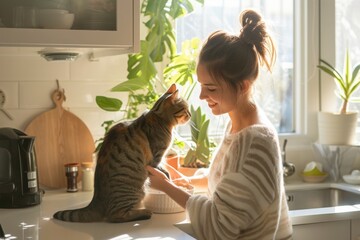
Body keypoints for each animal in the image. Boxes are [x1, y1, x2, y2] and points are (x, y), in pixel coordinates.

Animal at [52, 84, 191, 223]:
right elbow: (163, 169)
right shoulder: (157, 157)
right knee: (115, 216)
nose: (190, 115)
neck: (159, 117)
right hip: (134, 192)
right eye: (185, 109)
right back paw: (145, 213)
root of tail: (95, 199)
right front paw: (168, 176)